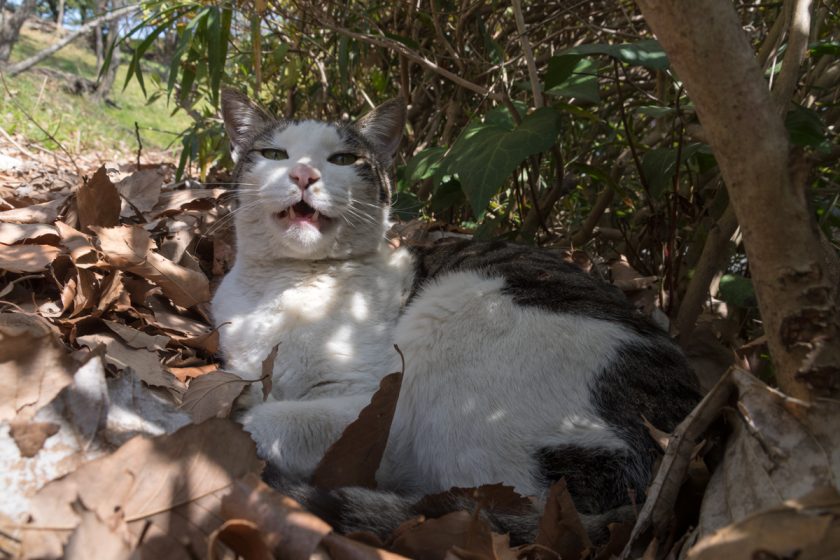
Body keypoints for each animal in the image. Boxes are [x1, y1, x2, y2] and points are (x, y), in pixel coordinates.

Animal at [213, 91, 700, 544]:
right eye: (274, 154)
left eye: (344, 160)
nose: (303, 175)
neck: (286, 282)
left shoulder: (370, 405)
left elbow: (264, 420)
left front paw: (235, 427)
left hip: (457, 316)